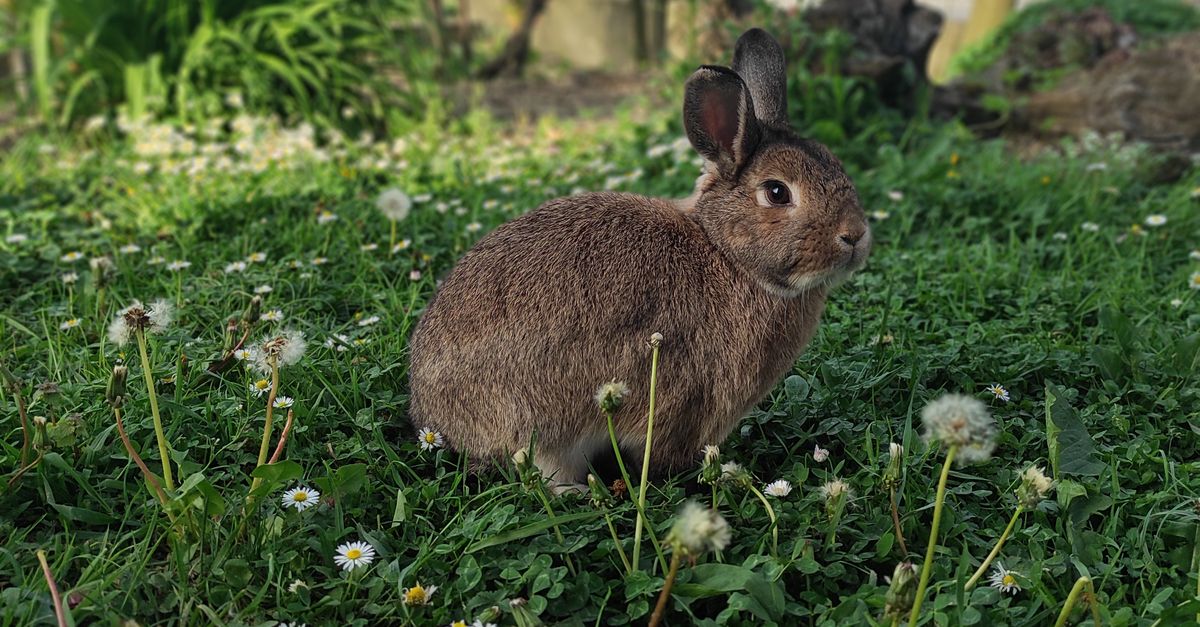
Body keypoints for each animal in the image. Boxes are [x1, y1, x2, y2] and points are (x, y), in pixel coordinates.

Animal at [408, 28, 870, 491]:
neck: (725, 252)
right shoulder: (688, 401)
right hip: (537, 412)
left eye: (836, 165)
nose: (855, 235)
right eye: (777, 192)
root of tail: (431, 412)